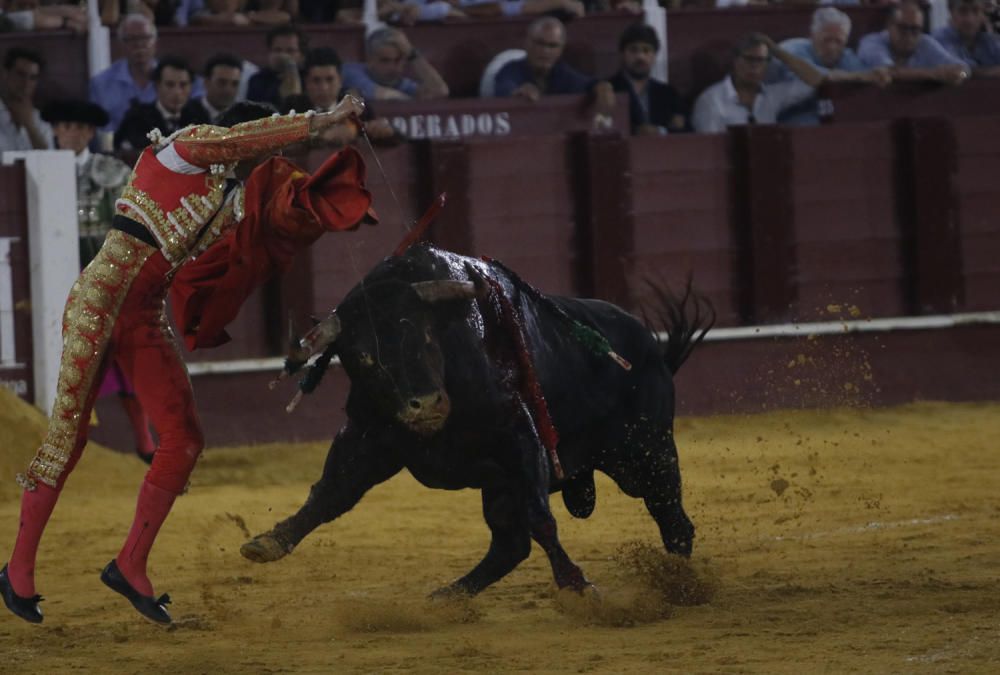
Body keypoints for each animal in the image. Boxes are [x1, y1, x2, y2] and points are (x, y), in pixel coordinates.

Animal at [241, 246, 712, 596]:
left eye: (424, 335)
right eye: (362, 356)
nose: (425, 405)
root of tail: (653, 348)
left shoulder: (520, 437)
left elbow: (541, 518)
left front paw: (577, 585)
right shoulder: (367, 437)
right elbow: (331, 494)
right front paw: (270, 541)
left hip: (645, 454)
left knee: (673, 520)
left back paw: (677, 584)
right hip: (501, 487)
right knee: (509, 545)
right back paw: (447, 597)